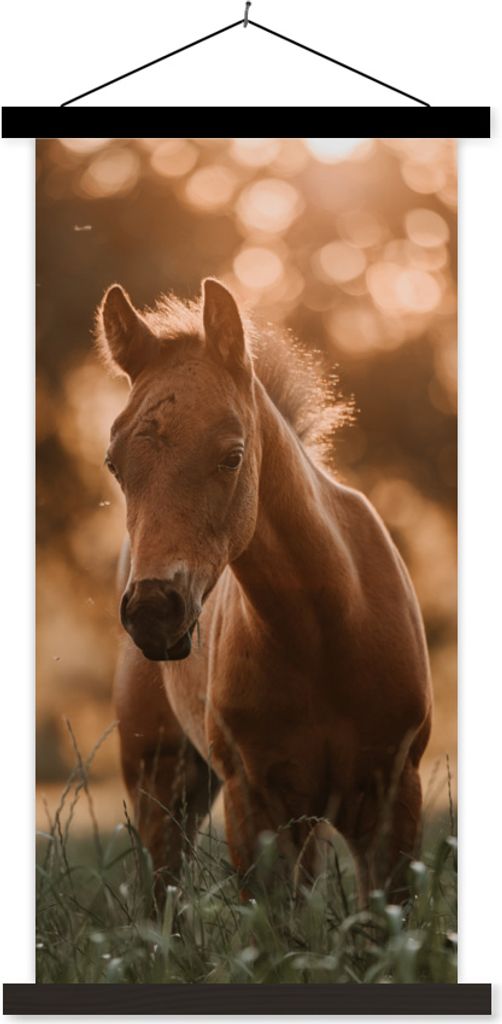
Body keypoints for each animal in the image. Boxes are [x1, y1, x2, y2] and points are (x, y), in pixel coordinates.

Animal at [96, 277, 432, 905]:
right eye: (113, 463)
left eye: (232, 456)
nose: (153, 611)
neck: (323, 631)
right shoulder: (255, 807)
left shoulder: (393, 797)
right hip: (160, 779)